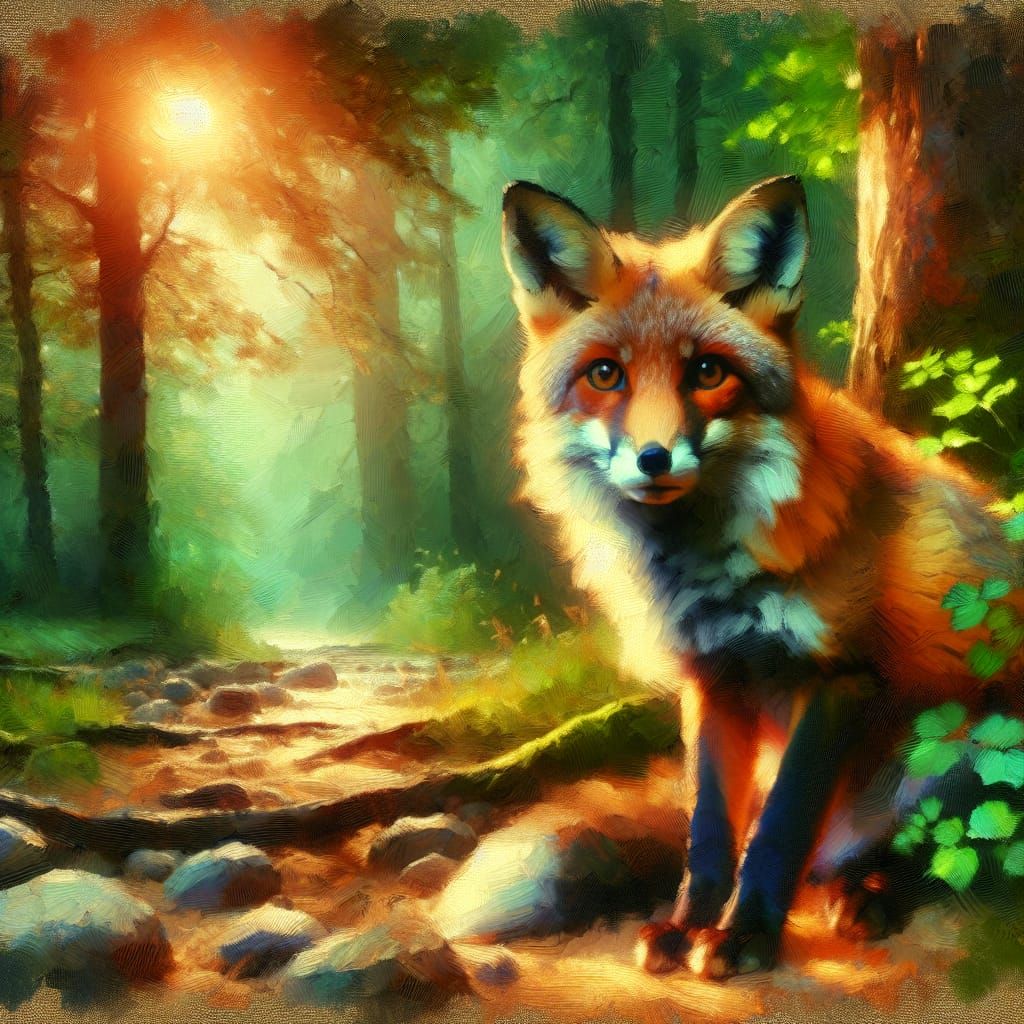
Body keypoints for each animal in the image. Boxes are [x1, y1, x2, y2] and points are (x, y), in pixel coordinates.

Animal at [500, 176, 1024, 980]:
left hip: (970, 748)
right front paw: (688, 926)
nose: (654, 458)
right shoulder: (713, 679)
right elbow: (710, 832)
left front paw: (745, 936)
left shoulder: (839, 675)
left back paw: (869, 894)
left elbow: (776, 832)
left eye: (708, 371)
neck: (708, 574)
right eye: (606, 375)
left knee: (935, 851)